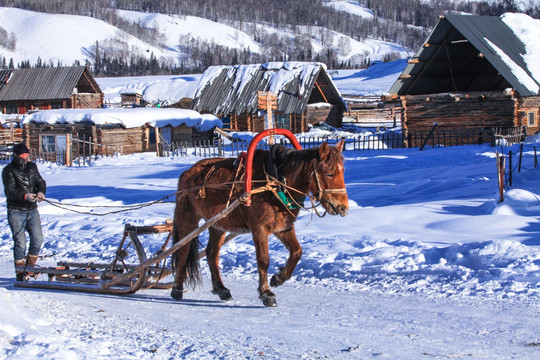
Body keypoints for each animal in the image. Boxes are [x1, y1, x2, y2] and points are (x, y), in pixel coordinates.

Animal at [171, 141, 348, 306]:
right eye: (330, 173)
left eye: (343, 171)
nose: (343, 208)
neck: (275, 183)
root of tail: (187, 172)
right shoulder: (260, 229)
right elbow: (263, 260)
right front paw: (266, 293)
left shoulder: (283, 227)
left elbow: (297, 251)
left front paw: (279, 278)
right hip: (188, 220)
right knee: (183, 250)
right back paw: (177, 288)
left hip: (217, 223)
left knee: (212, 253)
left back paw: (222, 289)